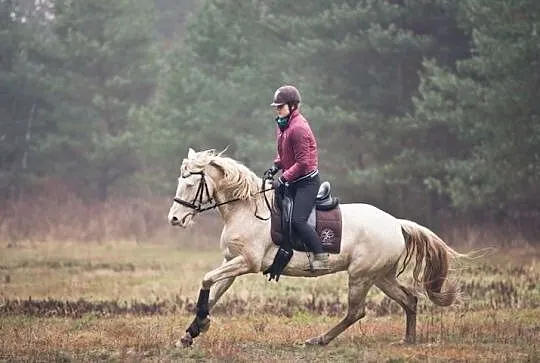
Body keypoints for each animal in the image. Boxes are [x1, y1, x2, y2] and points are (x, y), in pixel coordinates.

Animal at [169, 149, 464, 348]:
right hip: (381, 276)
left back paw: (318, 340)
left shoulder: (246, 262)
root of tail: (396, 223)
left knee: (356, 312)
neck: (246, 209)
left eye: (191, 184)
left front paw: (200, 325)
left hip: (361, 276)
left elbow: (206, 280)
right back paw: (408, 340)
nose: (174, 219)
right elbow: (213, 291)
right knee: (409, 300)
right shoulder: (231, 261)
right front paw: (192, 332)